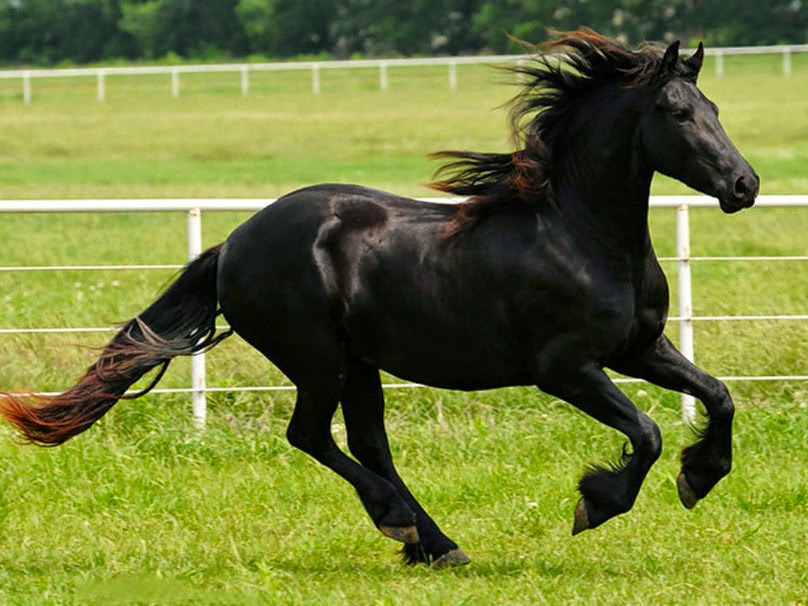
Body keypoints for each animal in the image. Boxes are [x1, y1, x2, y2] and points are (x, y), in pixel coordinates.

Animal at [0, 30, 756, 568]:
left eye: (716, 108)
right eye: (676, 112)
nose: (743, 185)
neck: (578, 232)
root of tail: (235, 243)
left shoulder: (638, 347)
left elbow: (718, 396)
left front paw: (701, 476)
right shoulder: (565, 368)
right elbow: (647, 432)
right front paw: (597, 504)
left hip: (358, 361)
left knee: (369, 442)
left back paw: (435, 544)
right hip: (317, 358)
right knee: (312, 436)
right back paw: (399, 522)